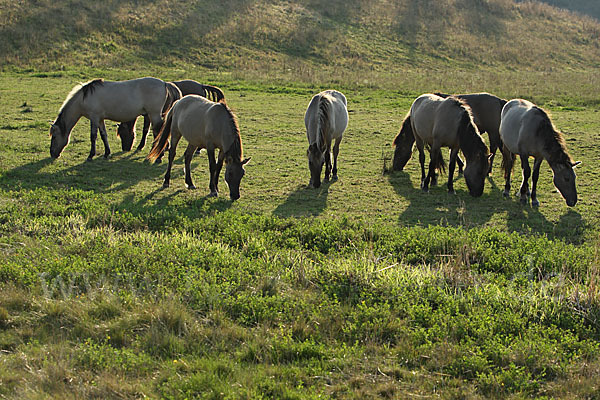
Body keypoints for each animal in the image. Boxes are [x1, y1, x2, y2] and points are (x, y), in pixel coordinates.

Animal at [49, 77, 180, 160]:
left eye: (54, 137)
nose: (52, 153)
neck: (84, 98)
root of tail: (164, 83)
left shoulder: (94, 118)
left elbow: (93, 136)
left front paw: (91, 155)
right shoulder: (100, 119)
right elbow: (103, 135)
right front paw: (107, 153)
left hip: (154, 114)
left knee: (158, 131)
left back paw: (159, 155)